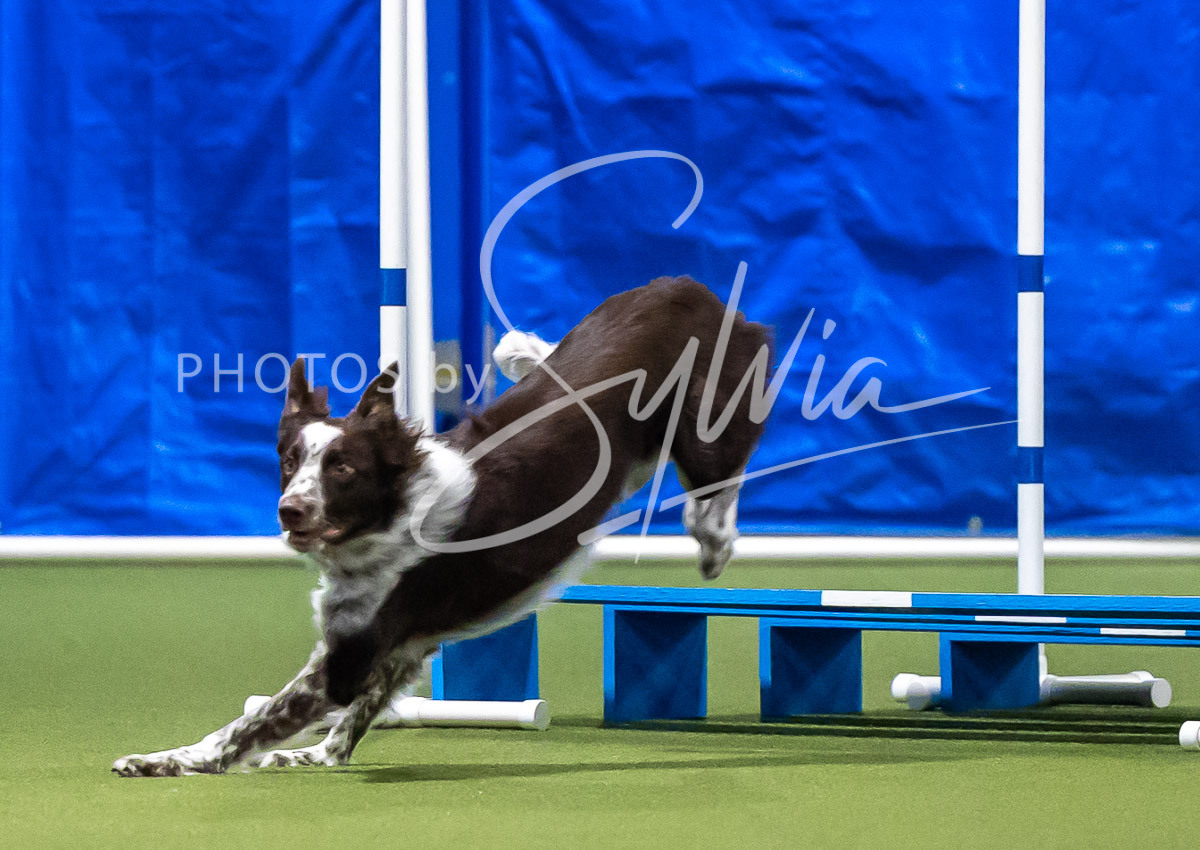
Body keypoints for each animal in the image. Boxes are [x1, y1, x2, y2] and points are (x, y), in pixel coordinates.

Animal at [113, 275, 769, 776]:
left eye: (343, 468)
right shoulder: (396, 645)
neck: (389, 519)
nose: (289, 511)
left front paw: (160, 760)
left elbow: (245, 725)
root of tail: (683, 286)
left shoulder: (349, 658)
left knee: (721, 476)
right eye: (290, 461)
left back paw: (713, 540)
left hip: (706, 425)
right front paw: (316, 756)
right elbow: (350, 721)